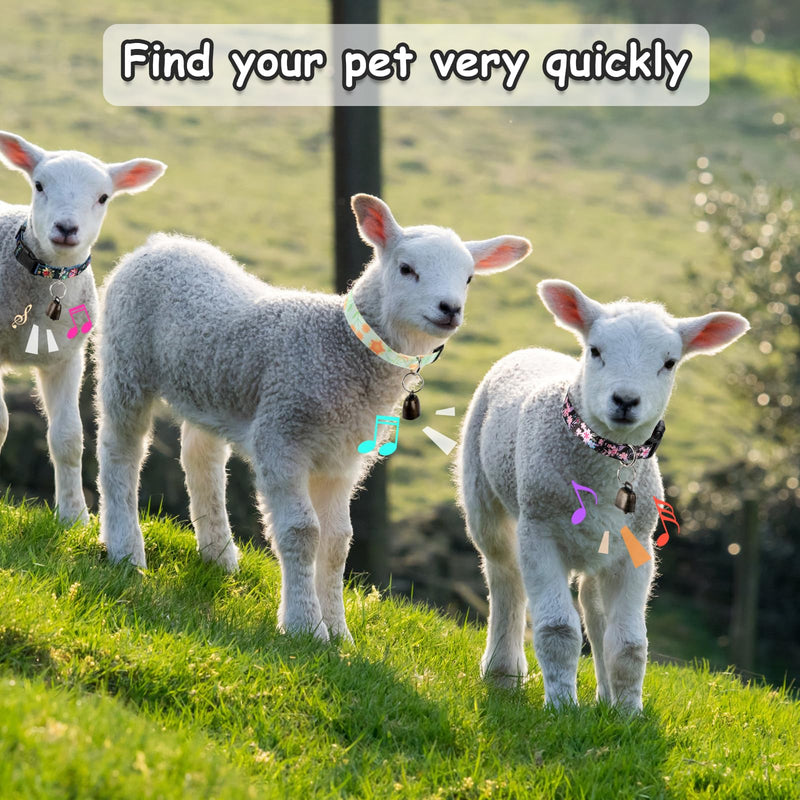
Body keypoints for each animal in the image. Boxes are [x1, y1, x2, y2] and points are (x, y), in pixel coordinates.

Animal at [0, 131, 166, 523]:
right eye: (39, 185)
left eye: (103, 197)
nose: (66, 229)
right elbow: (0, 422)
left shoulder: (67, 358)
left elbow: (69, 438)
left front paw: (74, 515)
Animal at [96, 194, 531, 641]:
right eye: (406, 269)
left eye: (469, 278)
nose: (450, 309)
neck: (340, 347)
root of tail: (159, 244)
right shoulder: (281, 436)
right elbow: (303, 532)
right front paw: (304, 626)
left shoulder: (342, 459)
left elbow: (338, 542)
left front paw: (338, 633)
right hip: (125, 360)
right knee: (120, 451)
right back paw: (124, 548)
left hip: (209, 387)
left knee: (202, 458)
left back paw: (218, 554)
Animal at [455, 280, 749, 710]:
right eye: (595, 350)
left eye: (670, 362)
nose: (625, 401)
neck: (609, 461)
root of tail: (535, 351)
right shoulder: (540, 532)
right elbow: (558, 629)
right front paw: (561, 708)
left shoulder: (636, 549)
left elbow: (629, 645)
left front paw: (627, 714)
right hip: (483, 496)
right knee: (505, 577)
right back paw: (502, 673)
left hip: (600, 546)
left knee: (592, 605)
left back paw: (605, 697)